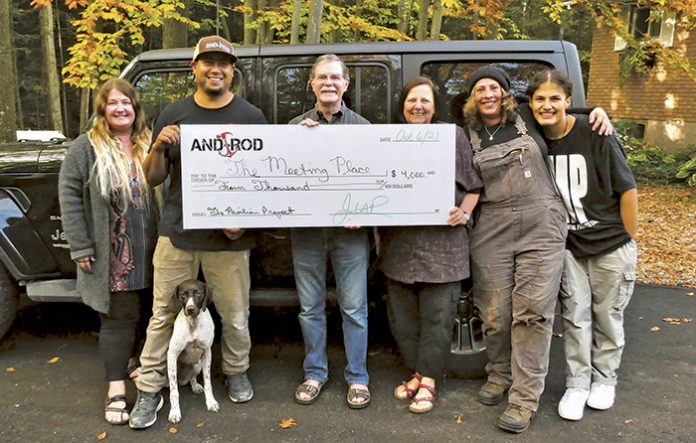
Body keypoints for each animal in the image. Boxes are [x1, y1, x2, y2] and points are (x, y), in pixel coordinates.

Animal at [166, 279, 219, 424]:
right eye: (183, 295)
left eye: (198, 293)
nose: (190, 309)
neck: (193, 323)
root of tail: (182, 379)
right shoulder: (172, 354)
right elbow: (174, 391)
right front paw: (174, 412)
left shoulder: (207, 352)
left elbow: (208, 383)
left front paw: (211, 402)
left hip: (197, 365)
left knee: (192, 377)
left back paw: (195, 386)